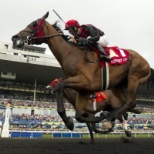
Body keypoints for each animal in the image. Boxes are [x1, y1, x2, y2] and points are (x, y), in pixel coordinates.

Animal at [11, 11, 154, 125]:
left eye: (34, 23)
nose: (15, 37)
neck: (72, 54)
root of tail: (148, 64)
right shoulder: (83, 90)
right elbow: (79, 116)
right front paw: (70, 122)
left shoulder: (84, 80)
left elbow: (60, 85)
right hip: (117, 86)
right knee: (127, 103)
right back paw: (112, 115)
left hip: (134, 77)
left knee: (130, 102)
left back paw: (110, 117)